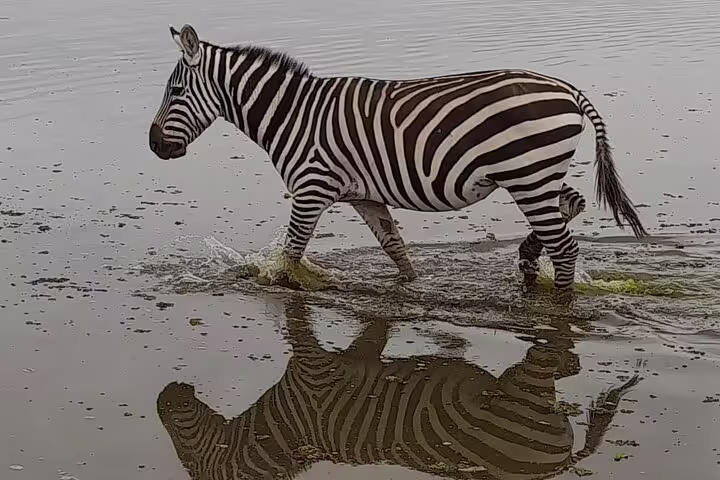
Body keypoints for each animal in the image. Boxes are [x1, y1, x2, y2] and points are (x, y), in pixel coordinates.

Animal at [148, 24, 648, 293]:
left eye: (175, 92)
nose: (154, 146)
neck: (293, 115)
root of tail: (567, 89)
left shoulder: (311, 188)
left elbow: (292, 253)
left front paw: (276, 283)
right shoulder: (362, 194)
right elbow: (394, 247)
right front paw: (411, 286)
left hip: (527, 173)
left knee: (565, 246)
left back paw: (556, 297)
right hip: (537, 174)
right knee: (570, 206)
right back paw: (528, 258)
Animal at [157, 296, 641, 480]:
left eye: (189, 462)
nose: (162, 402)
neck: (290, 426)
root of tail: (556, 467)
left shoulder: (318, 373)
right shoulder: (358, 359)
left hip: (523, 396)